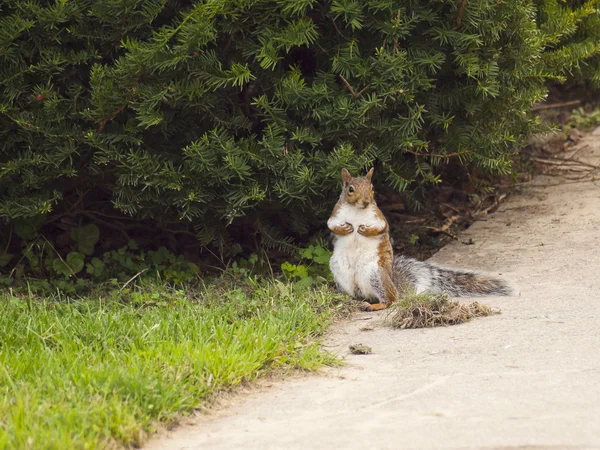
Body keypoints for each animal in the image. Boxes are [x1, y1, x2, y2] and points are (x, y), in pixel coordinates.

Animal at [326, 167, 512, 312]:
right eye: (350, 189)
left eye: (371, 187)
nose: (365, 201)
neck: (357, 211)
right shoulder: (336, 215)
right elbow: (331, 225)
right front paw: (346, 229)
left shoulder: (378, 218)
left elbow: (381, 228)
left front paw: (364, 230)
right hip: (340, 272)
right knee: (356, 294)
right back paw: (346, 299)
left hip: (375, 273)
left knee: (391, 299)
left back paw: (375, 305)